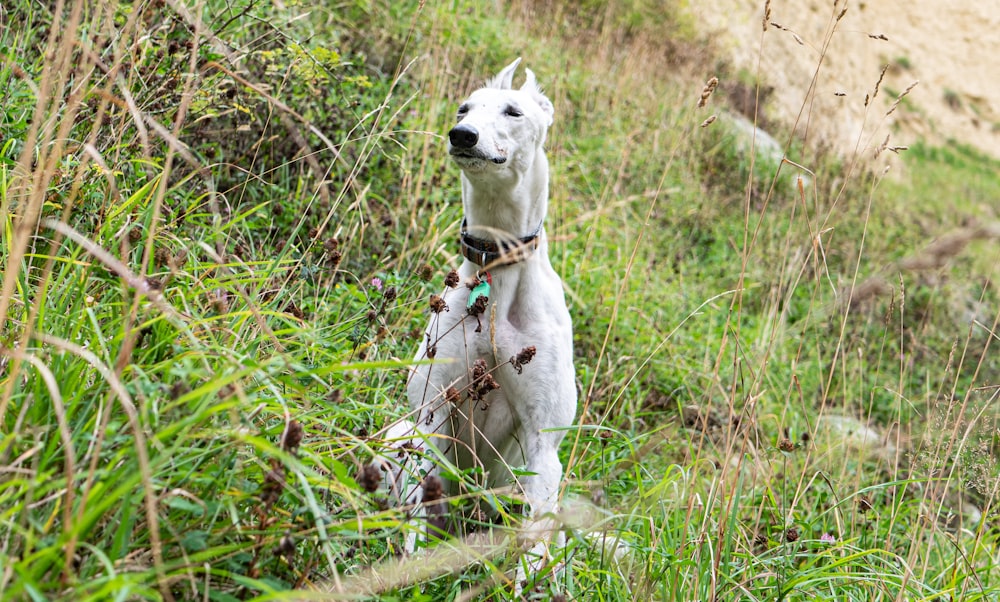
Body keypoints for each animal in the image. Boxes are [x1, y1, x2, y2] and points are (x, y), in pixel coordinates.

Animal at [384, 58, 580, 580]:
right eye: (463, 108)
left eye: (513, 111)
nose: (462, 135)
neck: (498, 265)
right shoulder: (429, 414)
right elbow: (414, 521)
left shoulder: (543, 446)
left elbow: (531, 553)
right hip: (399, 435)